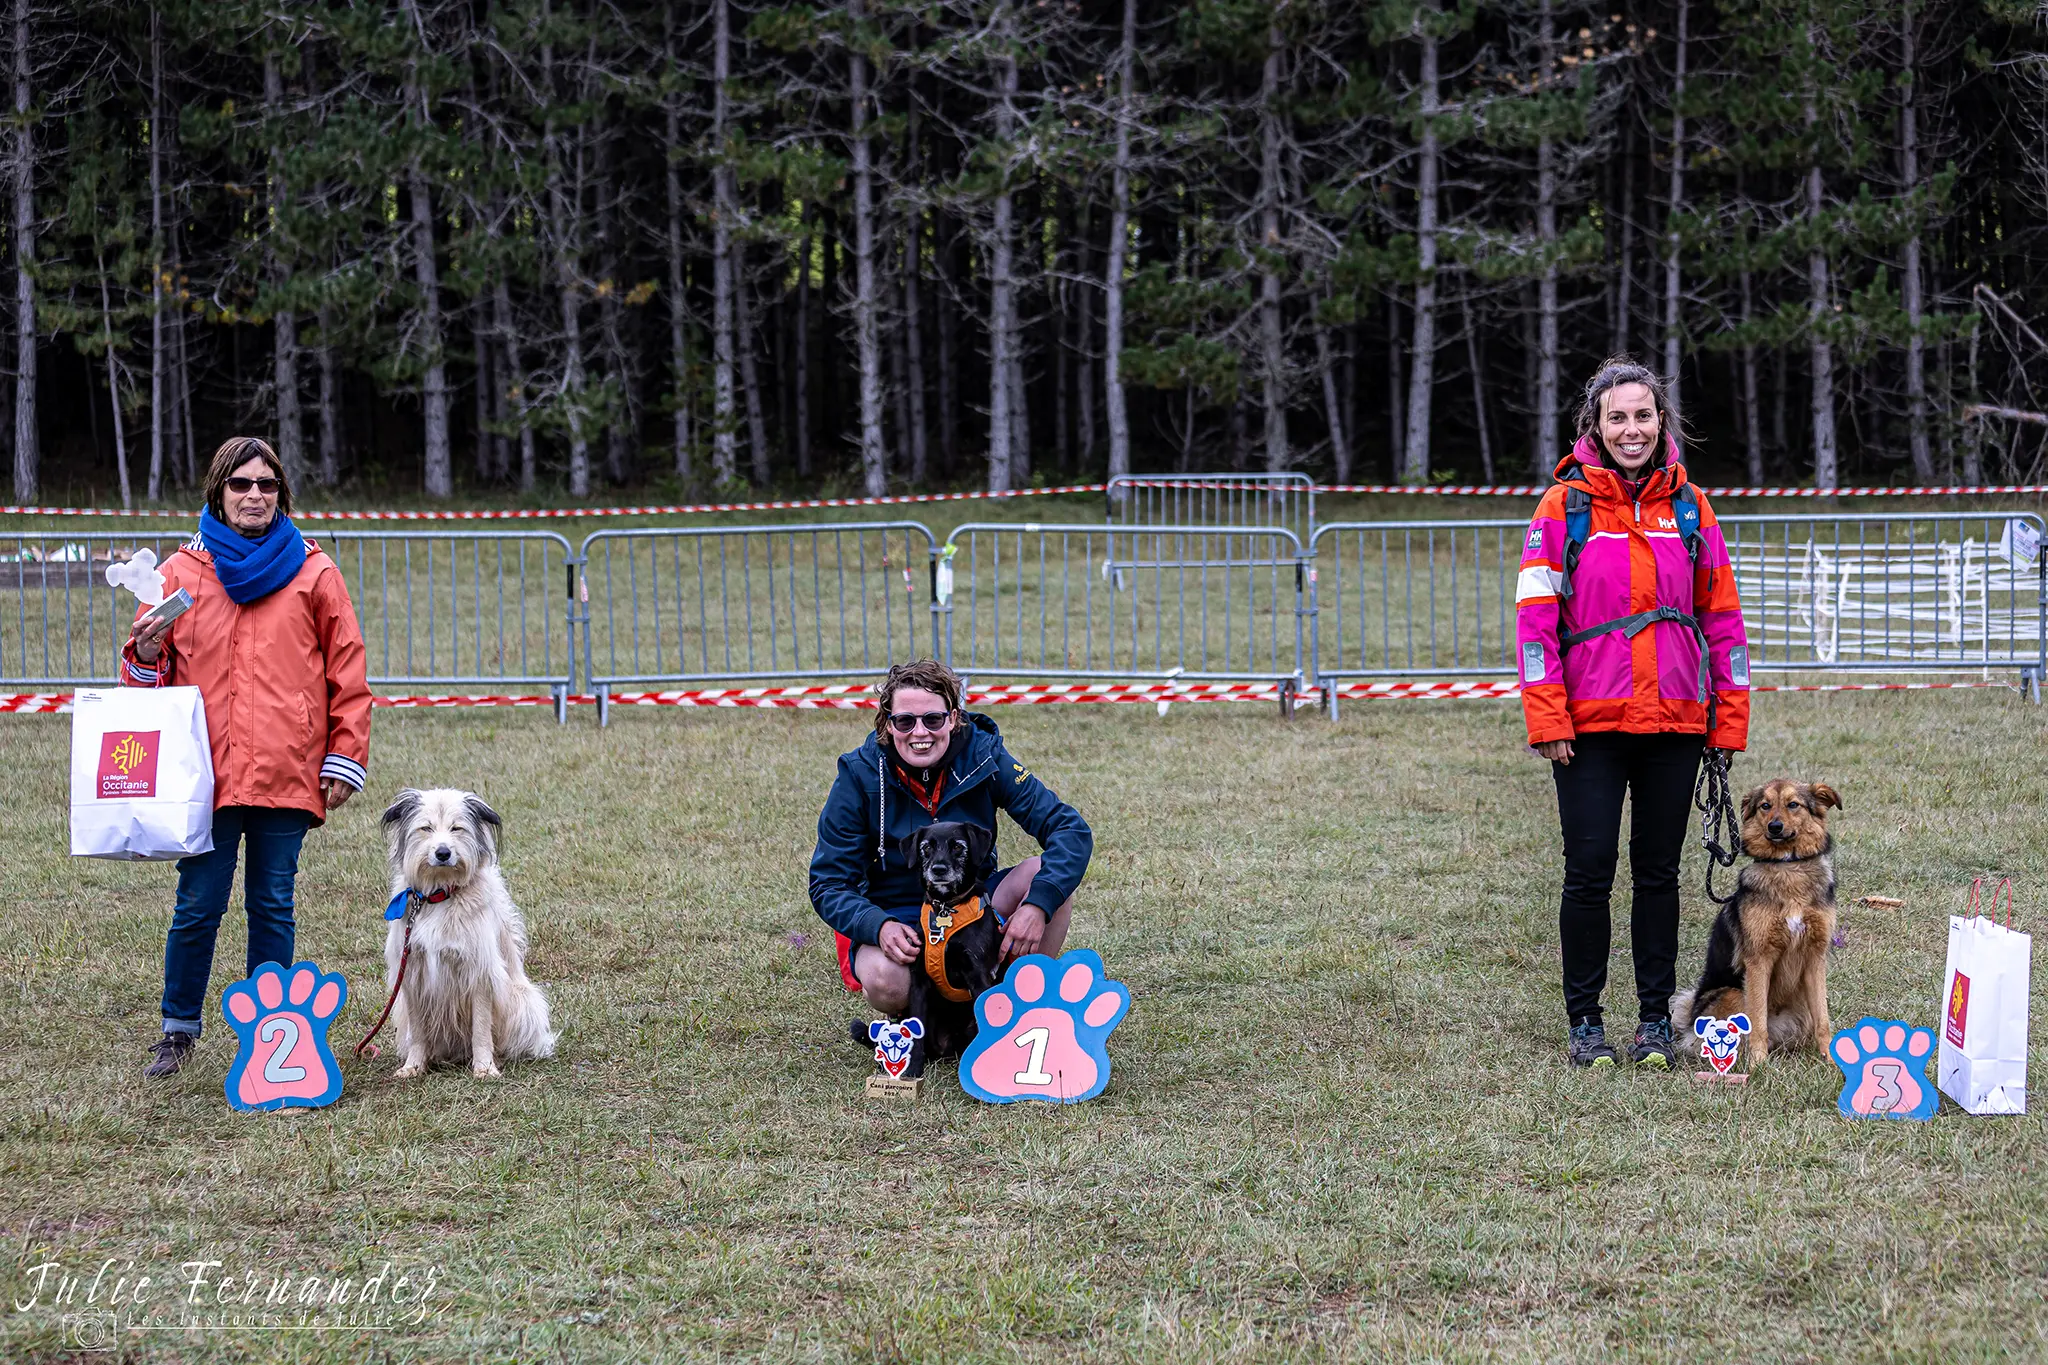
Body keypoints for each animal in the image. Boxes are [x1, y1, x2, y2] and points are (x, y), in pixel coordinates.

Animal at [380, 789, 557, 1080]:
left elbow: (481, 1029)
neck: (439, 895)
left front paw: (484, 1067)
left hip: (523, 1002)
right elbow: (418, 1033)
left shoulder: (478, 971)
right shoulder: (413, 972)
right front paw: (414, 1066)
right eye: (426, 828)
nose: (443, 853)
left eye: (456, 828)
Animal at [847, 822, 1007, 1080]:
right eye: (926, 848)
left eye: (958, 847)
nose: (939, 869)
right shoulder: (919, 981)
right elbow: (915, 1033)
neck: (946, 909)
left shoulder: (979, 977)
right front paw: (912, 1071)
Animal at [1671, 785, 1851, 1064]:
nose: (1775, 827)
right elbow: (1757, 1019)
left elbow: (1823, 1019)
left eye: (1793, 804)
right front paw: (1759, 1064)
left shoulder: (1815, 957)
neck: (1788, 867)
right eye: (1765, 806)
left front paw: (1831, 1060)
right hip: (1732, 994)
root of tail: (1690, 1020)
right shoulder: (1759, 960)